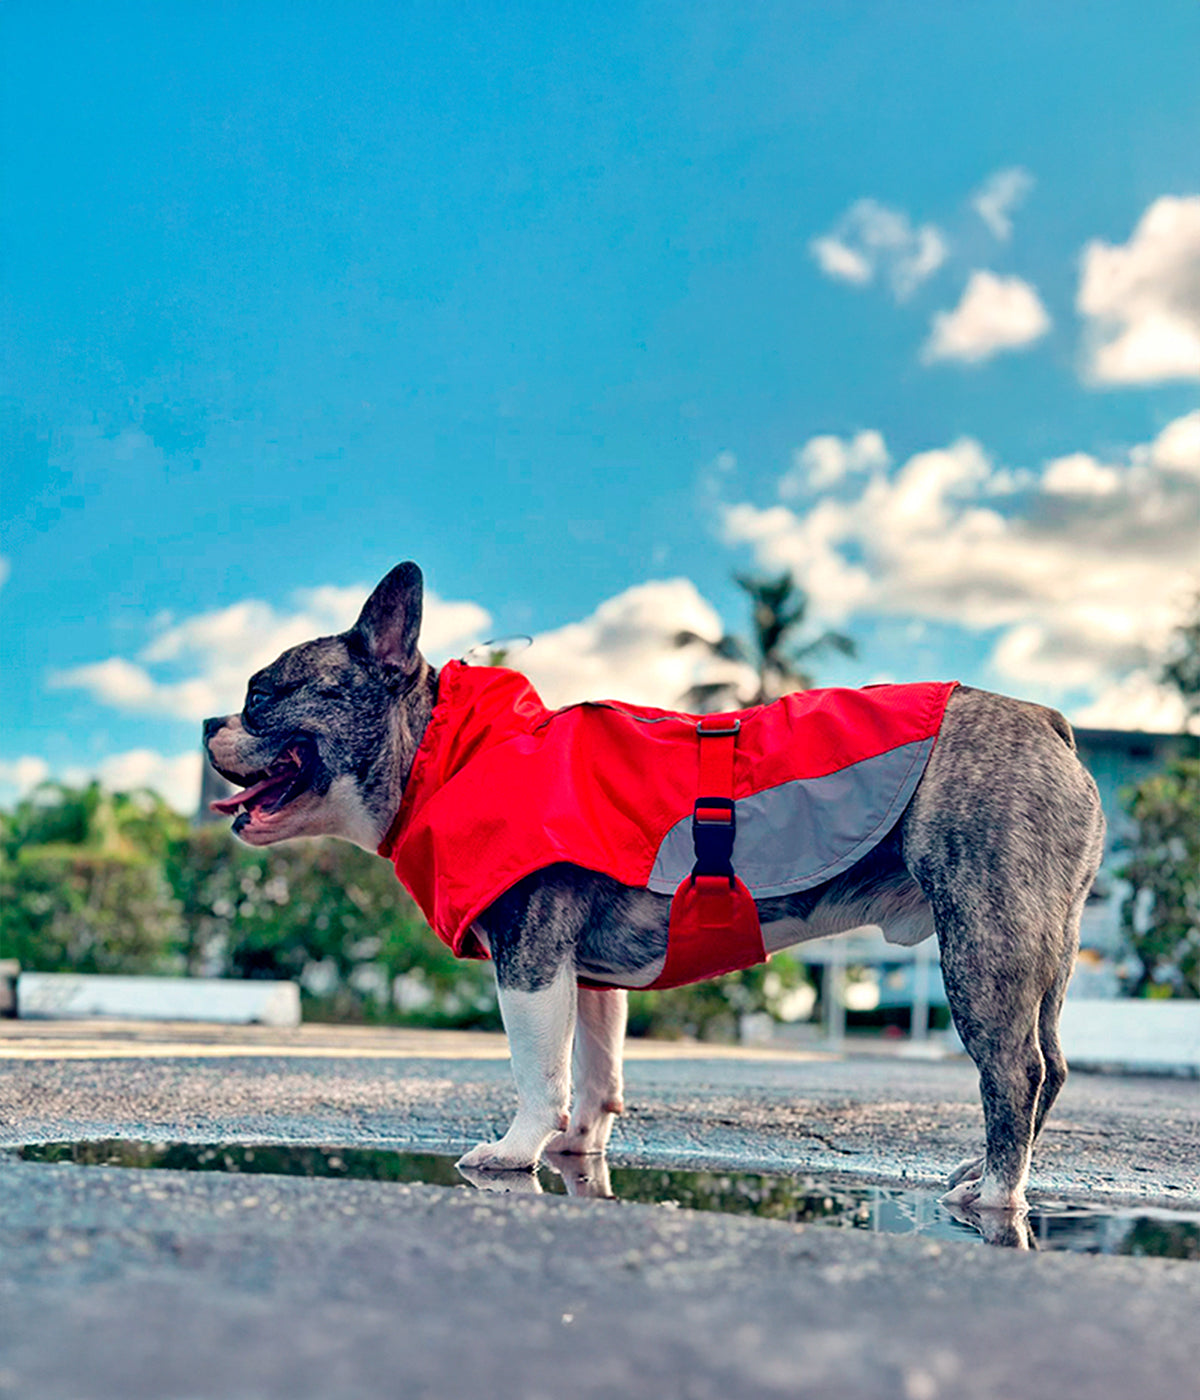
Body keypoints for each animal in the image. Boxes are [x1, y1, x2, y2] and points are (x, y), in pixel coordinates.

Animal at [203, 557, 1103, 1215]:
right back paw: (986, 1171)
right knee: (1052, 1065)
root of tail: (1047, 722)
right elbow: (597, 1071)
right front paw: (577, 1148)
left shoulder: (530, 961)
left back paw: (998, 1191)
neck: (443, 752)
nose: (210, 719)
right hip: (1043, 944)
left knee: (1013, 1070)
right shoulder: (589, 977)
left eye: (262, 693)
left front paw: (516, 1151)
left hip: (984, 939)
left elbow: (538, 1069)